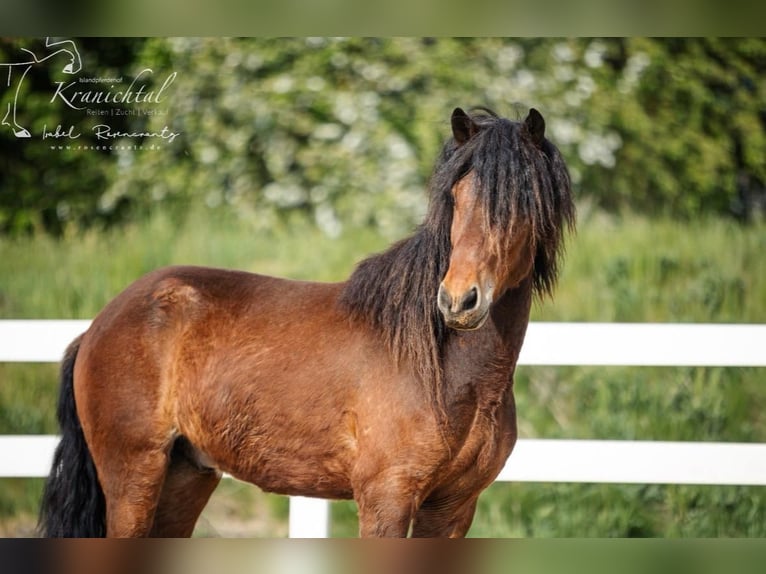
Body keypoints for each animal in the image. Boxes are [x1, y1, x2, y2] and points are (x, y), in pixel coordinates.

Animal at [39, 106, 574, 537]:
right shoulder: (386, 500)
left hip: (185, 477)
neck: (449, 372)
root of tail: (97, 327)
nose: (459, 301)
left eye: (524, 201)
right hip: (133, 479)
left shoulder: (452, 509)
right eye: (457, 197)